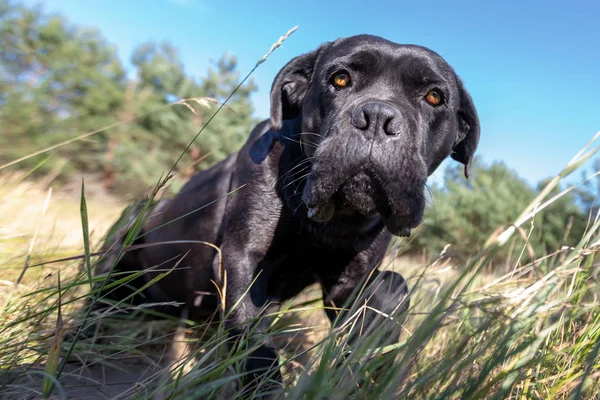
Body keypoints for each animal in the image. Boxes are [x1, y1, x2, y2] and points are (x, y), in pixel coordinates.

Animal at [92, 33, 478, 390]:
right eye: (339, 79)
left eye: (434, 96)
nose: (377, 117)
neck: (329, 222)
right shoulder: (242, 259)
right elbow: (255, 345)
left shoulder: (349, 281)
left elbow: (390, 289)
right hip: (128, 230)